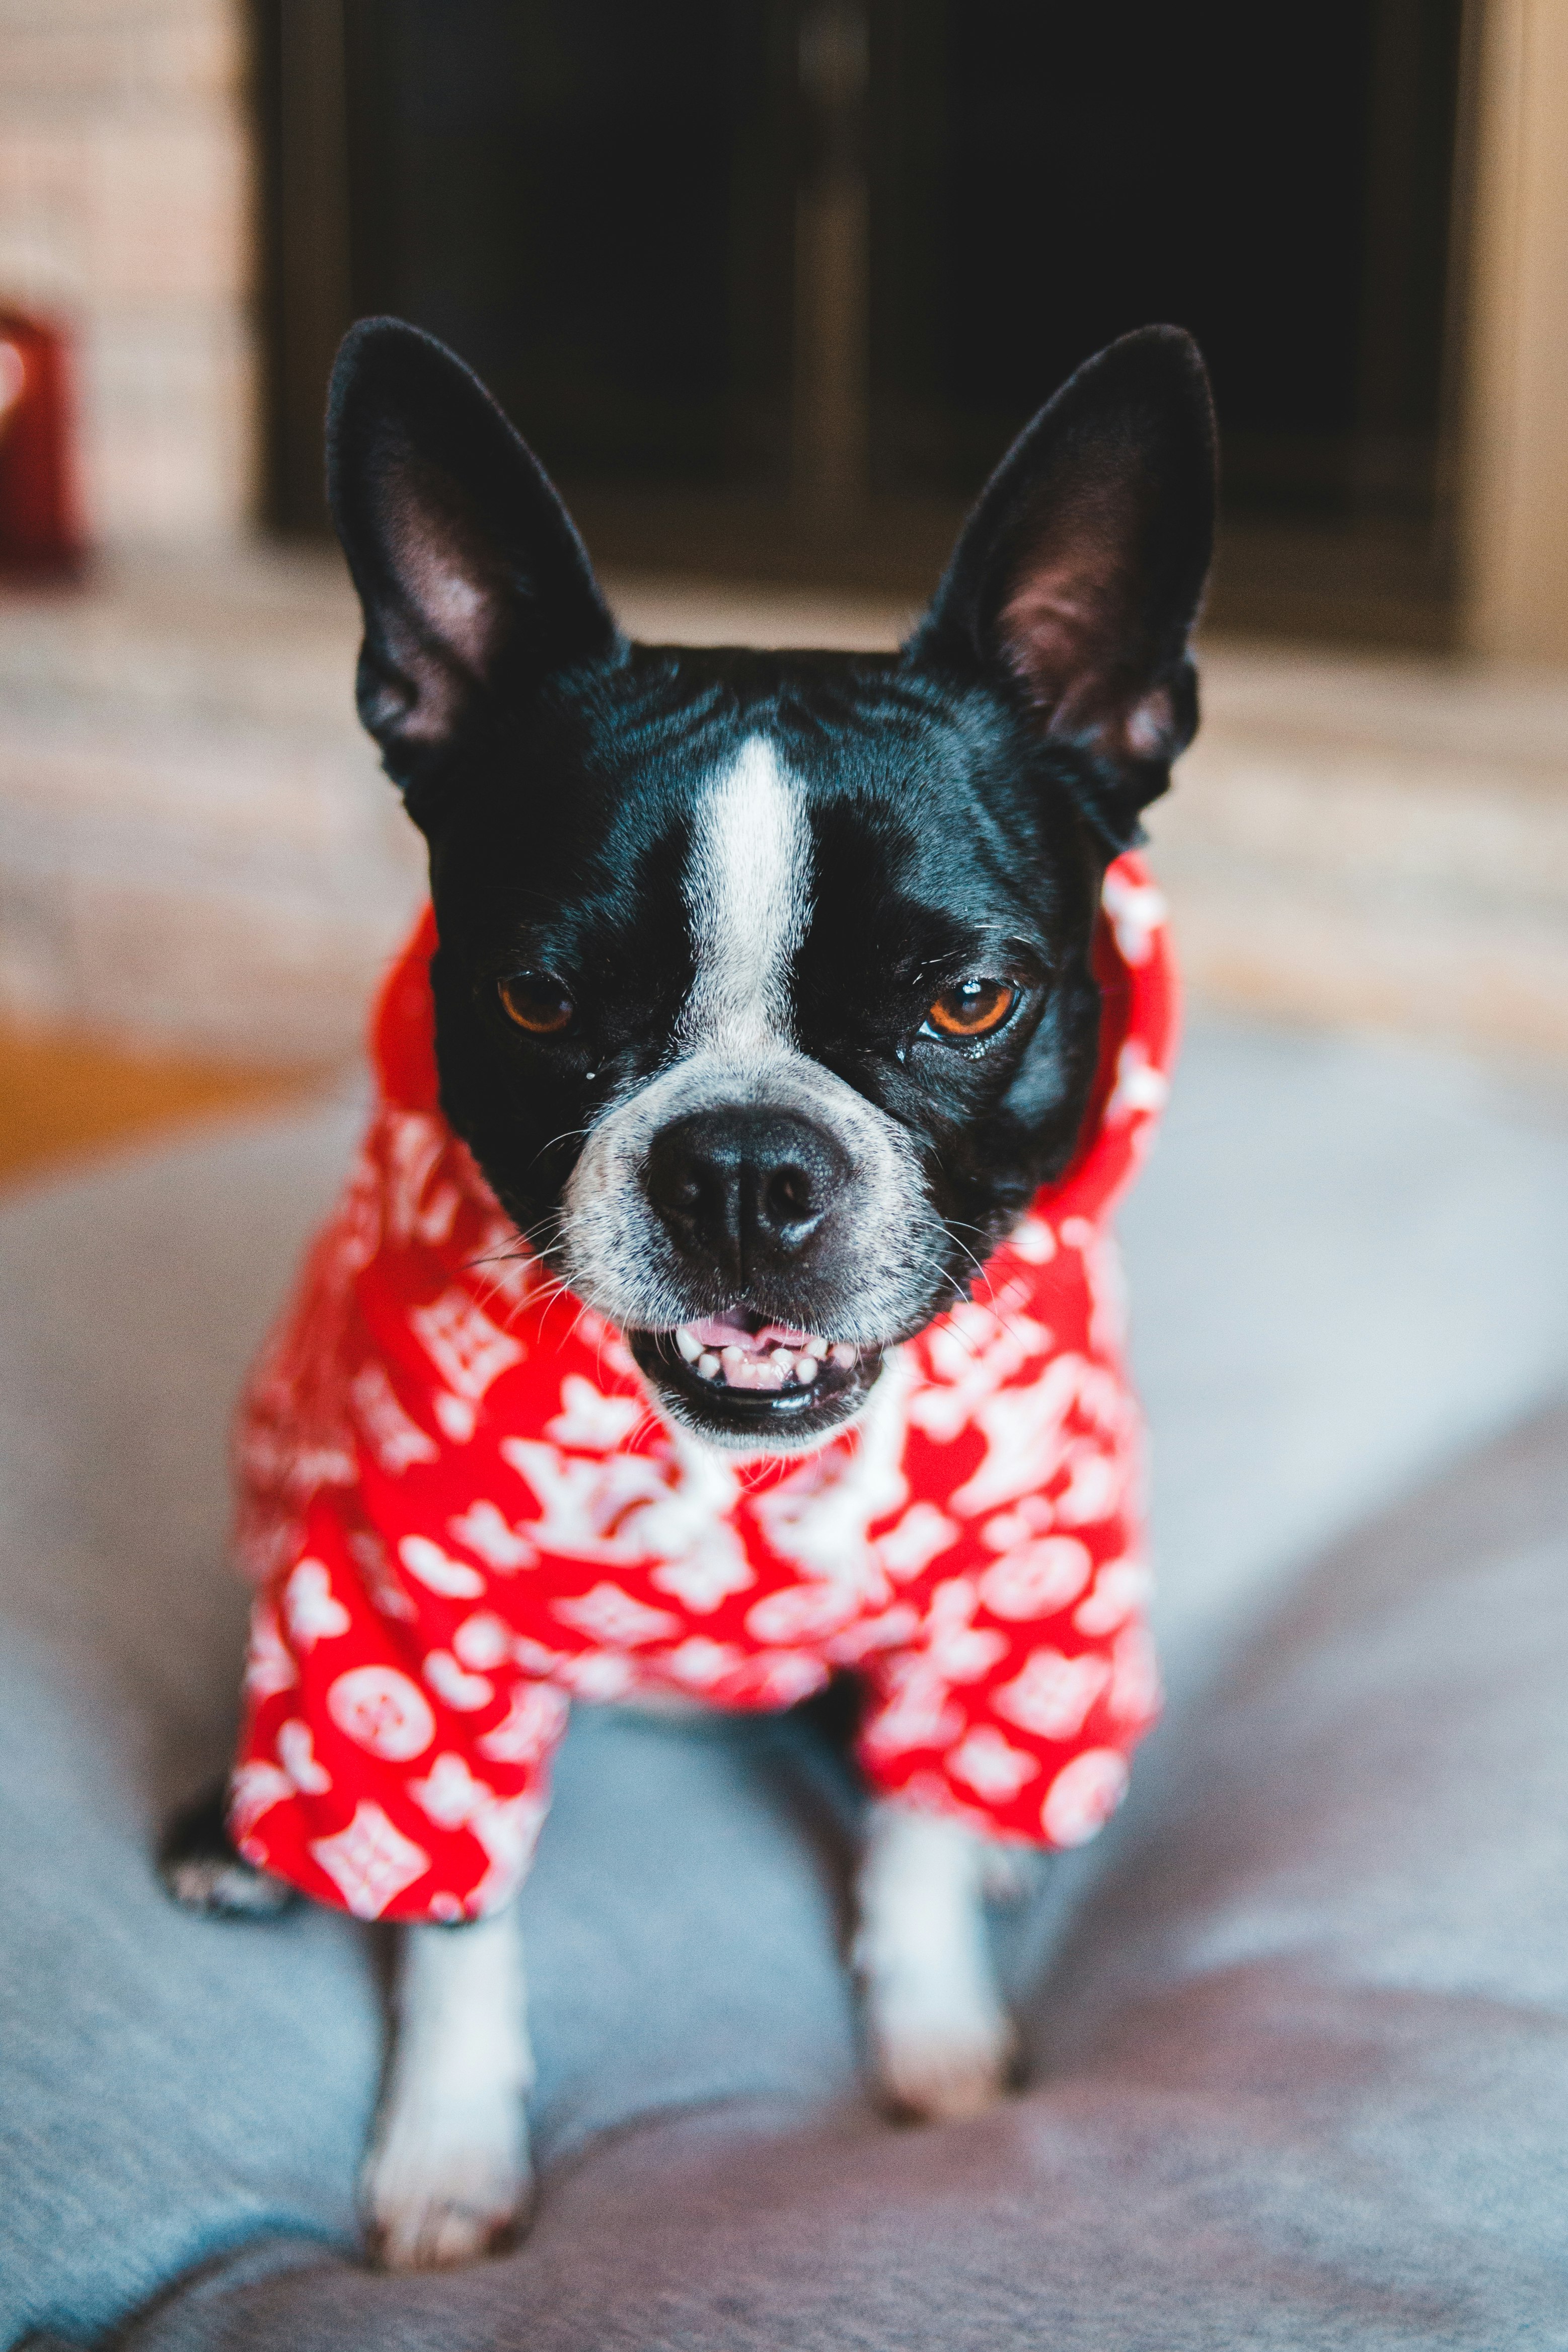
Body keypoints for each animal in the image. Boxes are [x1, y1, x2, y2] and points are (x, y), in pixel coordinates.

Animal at [162, 313, 1213, 2258]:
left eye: (967, 999)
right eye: (536, 998)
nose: (740, 1164)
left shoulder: (1008, 1601)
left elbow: (915, 1850)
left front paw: (943, 2060)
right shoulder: (413, 1640)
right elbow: (456, 1918)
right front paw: (446, 2158)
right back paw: (227, 1831)